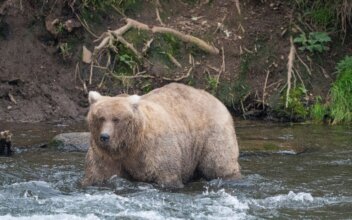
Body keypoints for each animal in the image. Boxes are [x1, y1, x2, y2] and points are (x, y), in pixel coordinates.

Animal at [83, 82, 239, 187]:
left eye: (116, 119)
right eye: (101, 117)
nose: (104, 137)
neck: (130, 144)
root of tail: (216, 99)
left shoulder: (154, 149)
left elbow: (166, 174)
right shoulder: (106, 156)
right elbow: (98, 174)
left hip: (212, 134)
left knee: (218, 163)